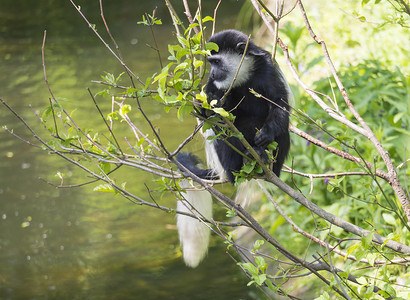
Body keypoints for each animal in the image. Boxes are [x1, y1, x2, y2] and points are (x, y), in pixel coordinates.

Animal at [176, 28, 292, 268]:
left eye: (217, 62)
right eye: (210, 63)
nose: (211, 74)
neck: (242, 76)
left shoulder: (267, 70)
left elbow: (279, 102)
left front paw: (266, 135)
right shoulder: (214, 89)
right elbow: (209, 115)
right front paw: (215, 105)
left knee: (282, 130)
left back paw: (265, 159)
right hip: (225, 159)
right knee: (222, 136)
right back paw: (238, 167)